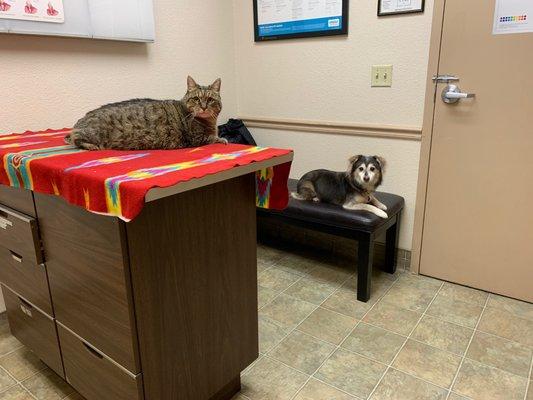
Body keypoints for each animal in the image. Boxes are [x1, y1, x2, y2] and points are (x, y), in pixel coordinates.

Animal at [65, 76, 227, 150]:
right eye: (196, 99)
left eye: (210, 99)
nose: (204, 107)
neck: (209, 122)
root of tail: (82, 119)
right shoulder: (195, 139)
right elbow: (212, 138)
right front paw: (222, 139)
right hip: (93, 133)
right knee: (75, 138)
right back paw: (91, 146)